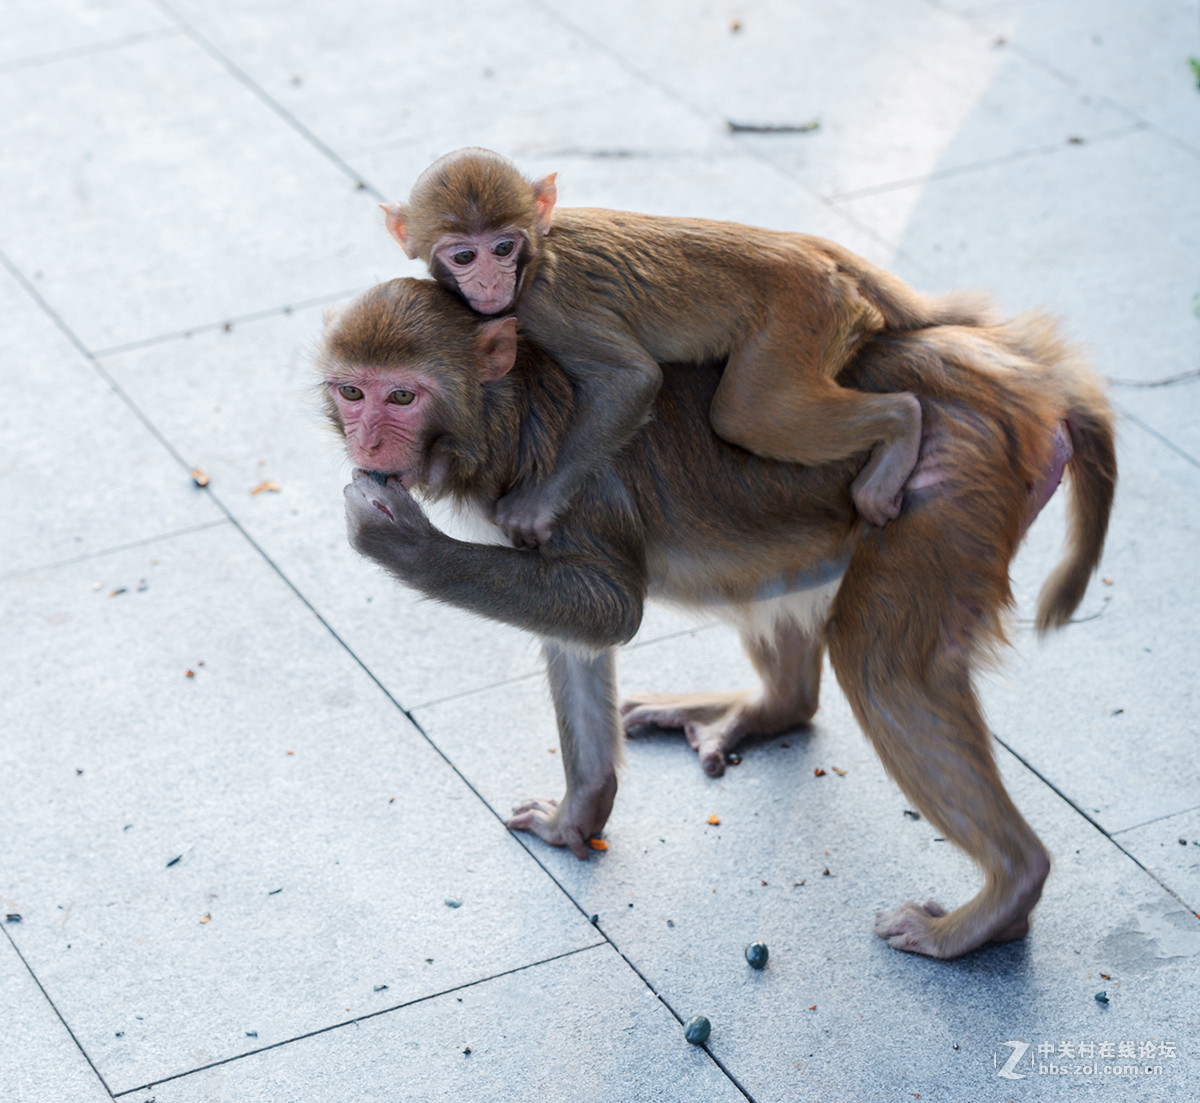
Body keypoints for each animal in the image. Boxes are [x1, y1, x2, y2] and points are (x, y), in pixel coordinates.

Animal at [321, 280, 1113, 960]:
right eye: (352, 391)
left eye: (402, 394)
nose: (366, 443)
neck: (502, 407)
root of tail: (1017, 372)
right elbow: (583, 633)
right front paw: (576, 816)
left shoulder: (554, 468)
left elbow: (611, 604)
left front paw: (405, 545)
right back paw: (767, 708)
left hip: (948, 479)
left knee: (881, 665)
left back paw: (1002, 898)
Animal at [381, 148, 984, 544]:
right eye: (464, 255)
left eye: (503, 247)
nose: (489, 281)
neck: (536, 257)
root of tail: (807, 248)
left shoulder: (542, 306)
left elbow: (633, 379)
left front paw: (536, 503)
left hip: (802, 315)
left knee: (750, 413)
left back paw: (902, 422)